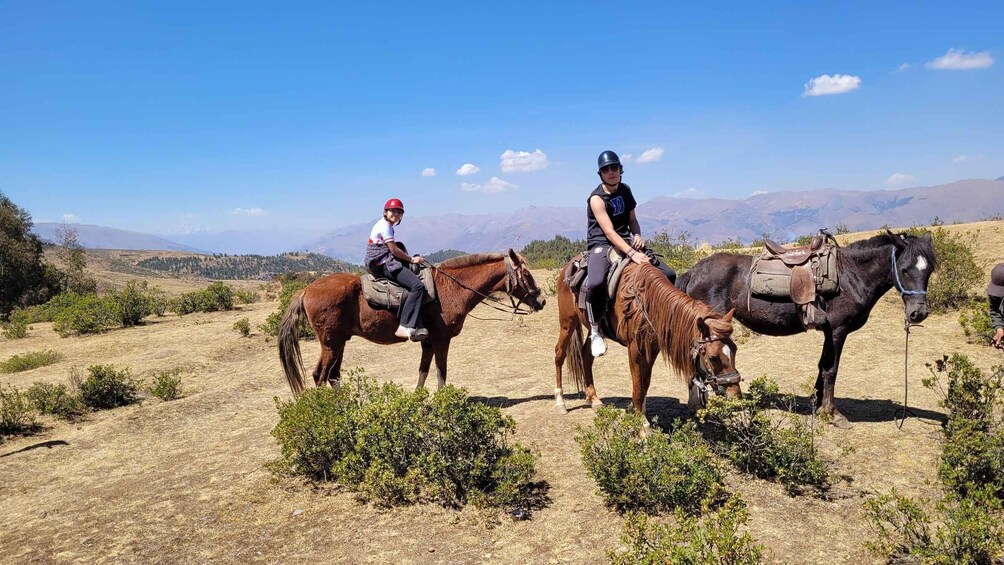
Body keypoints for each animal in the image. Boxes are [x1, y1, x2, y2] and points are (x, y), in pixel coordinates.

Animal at [279, 249, 546, 395]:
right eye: (526, 274)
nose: (541, 301)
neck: (451, 288)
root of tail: (306, 290)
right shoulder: (441, 339)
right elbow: (441, 371)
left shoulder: (427, 341)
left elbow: (423, 370)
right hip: (330, 343)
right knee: (320, 375)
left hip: (340, 343)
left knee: (333, 375)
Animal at [554, 260, 742, 419]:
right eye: (712, 357)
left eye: (734, 350)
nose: (735, 394)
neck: (647, 302)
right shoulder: (634, 349)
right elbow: (638, 388)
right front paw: (643, 429)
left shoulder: (651, 348)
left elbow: (645, 384)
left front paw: (639, 413)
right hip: (567, 322)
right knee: (559, 354)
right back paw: (560, 402)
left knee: (586, 355)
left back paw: (593, 398)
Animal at [678, 231, 935, 427]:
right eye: (904, 269)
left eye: (929, 270)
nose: (918, 313)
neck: (852, 275)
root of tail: (693, 271)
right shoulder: (838, 331)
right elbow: (832, 370)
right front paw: (832, 413)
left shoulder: (829, 333)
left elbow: (823, 367)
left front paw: (818, 404)